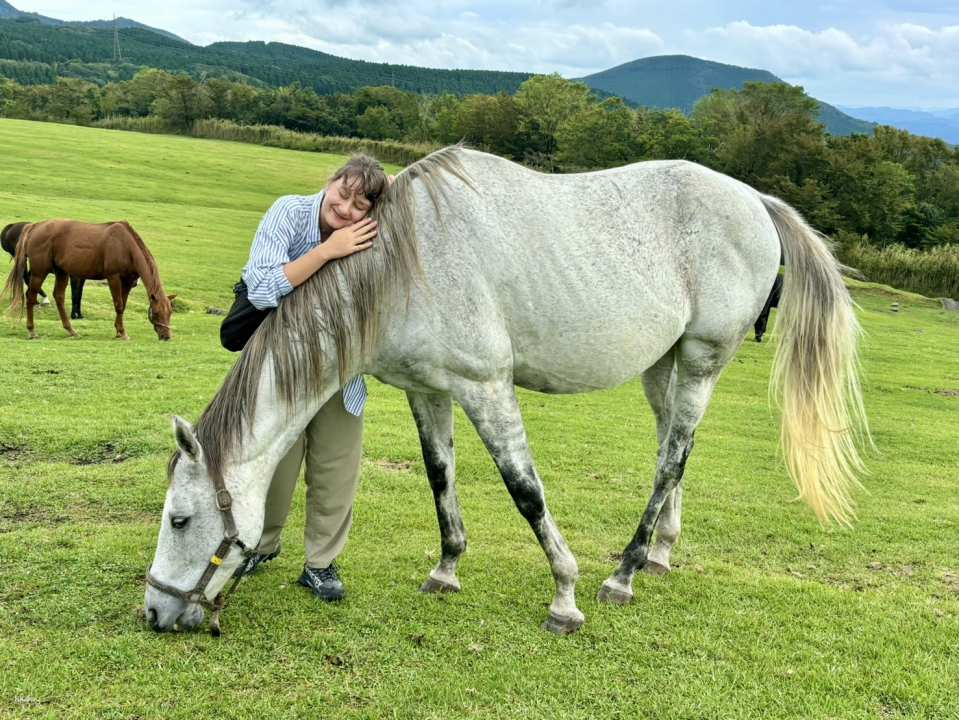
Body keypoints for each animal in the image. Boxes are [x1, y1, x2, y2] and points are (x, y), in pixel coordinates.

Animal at [3, 220, 174, 340]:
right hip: (40, 272)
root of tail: (35, 226)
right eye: (156, 313)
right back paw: (32, 331)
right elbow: (118, 305)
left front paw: (119, 331)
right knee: (31, 297)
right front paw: (122, 333)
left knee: (59, 296)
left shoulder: (127, 282)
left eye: (170, 313)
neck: (125, 245)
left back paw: (71, 330)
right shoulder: (113, 277)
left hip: (61, 272)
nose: (166, 336)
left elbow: (122, 306)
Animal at [145, 147, 868, 635]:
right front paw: (446, 569)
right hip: (662, 368)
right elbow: (439, 478)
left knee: (671, 460)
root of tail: (754, 200)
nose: (154, 611)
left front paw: (564, 596)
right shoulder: (427, 392)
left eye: (179, 519)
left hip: (699, 361)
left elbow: (525, 491)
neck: (407, 265)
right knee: (673, 448)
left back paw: (623, 574)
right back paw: (659, 554)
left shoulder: (486, 387)